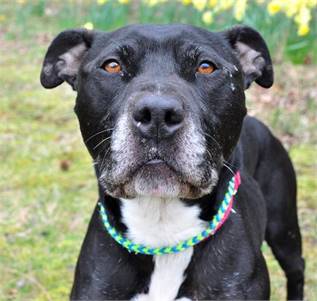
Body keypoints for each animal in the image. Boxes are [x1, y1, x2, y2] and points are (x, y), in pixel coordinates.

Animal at [40, 24, 304, 298]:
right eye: (112, 66)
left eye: (206, 67)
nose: (157, 113)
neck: (162, 228)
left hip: (284, 229)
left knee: (297, 268)